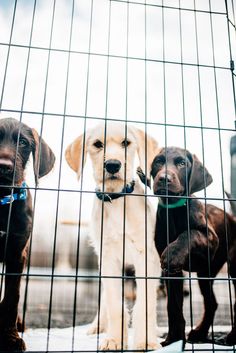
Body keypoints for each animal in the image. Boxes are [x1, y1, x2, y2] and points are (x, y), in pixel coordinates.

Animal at [65, 121, 160, 350]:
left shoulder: (146, 258)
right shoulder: (108, 259)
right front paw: (115, 340)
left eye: (126, 143)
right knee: (106, 300)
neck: (117, 200)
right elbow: (115, 305)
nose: (113, 165)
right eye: (98, 144)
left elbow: (145, 303)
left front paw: (145, 341)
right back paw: (98, 326)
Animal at [151, 147, 236, 346]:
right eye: (158, 161)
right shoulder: (172, 274)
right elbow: (173, 308)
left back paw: (232, 336)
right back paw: (199, 332)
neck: (174, 210)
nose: (164, 178)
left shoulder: (211, 240)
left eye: (182, 163)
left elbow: (190, 233)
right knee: (212, 303)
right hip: (205, 274)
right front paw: (173, 340)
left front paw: (173, 253)